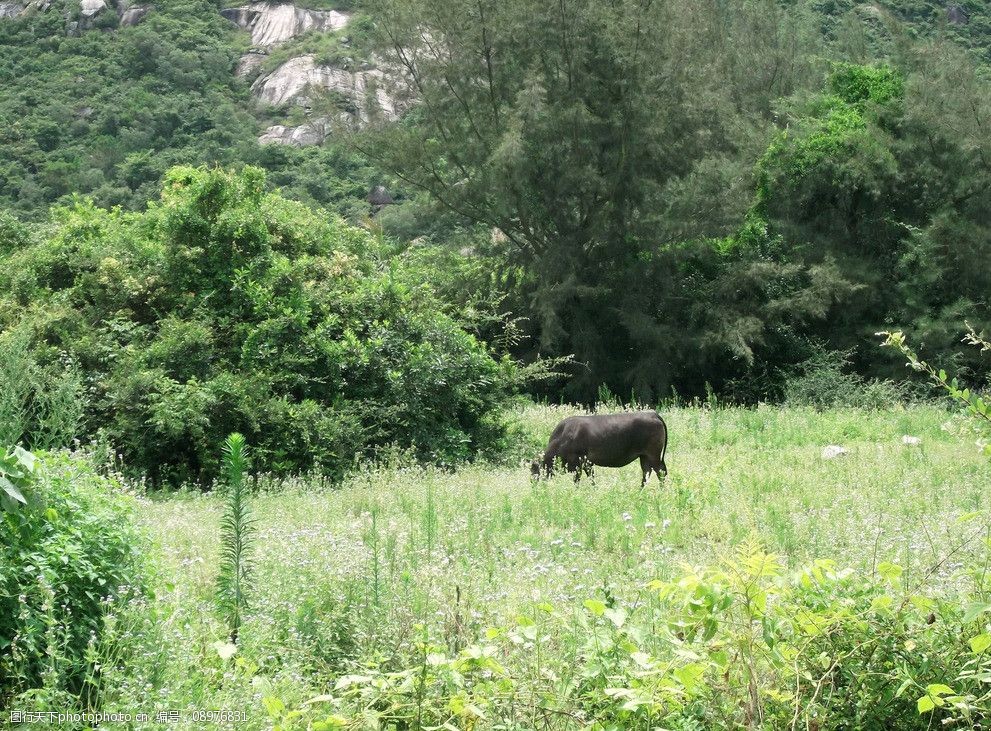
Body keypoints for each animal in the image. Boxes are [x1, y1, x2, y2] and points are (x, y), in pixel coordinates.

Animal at [532, 412, 672, 486]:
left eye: (534, 470)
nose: (533, 486)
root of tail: (652, 414)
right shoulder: (587, 464)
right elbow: (591, 479)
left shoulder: (578, 463)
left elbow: (578, 481)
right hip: (644, 456)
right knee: (647, 473)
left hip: (653, 455)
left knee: (660, 472)